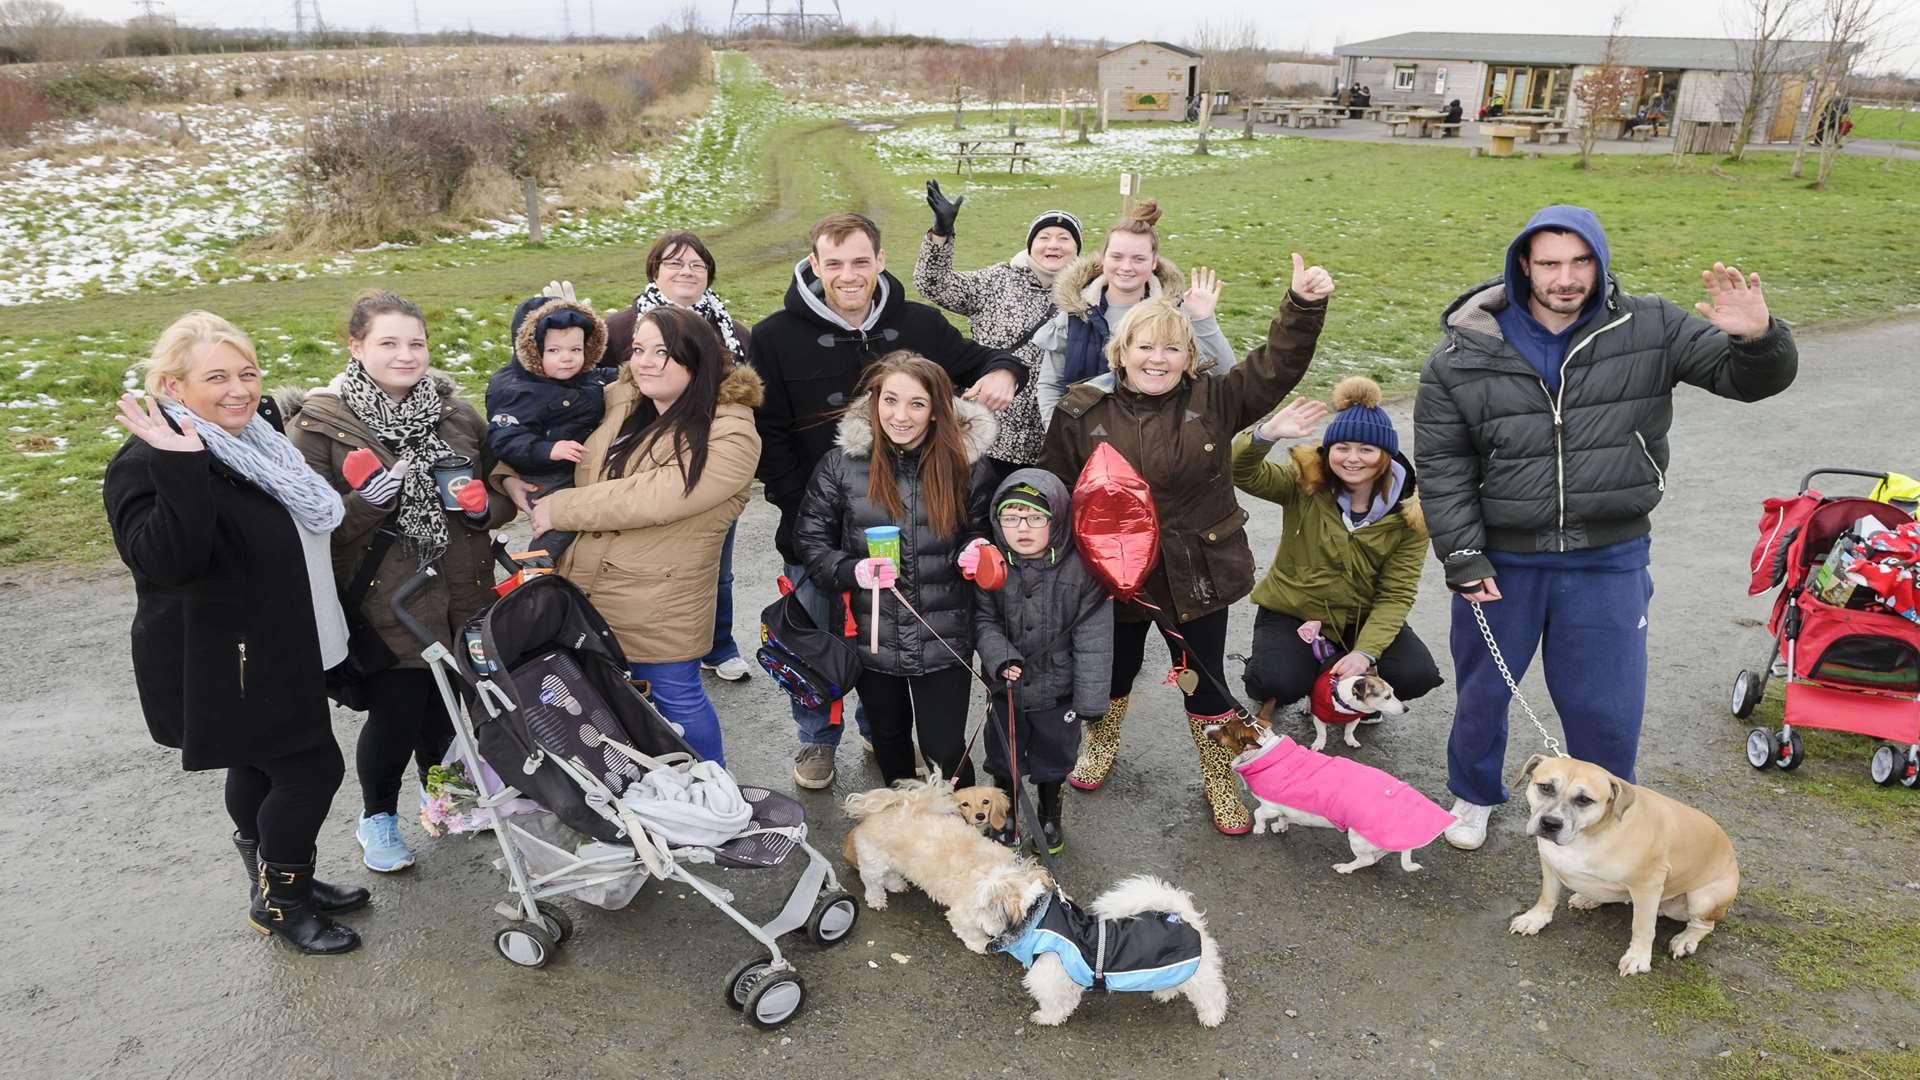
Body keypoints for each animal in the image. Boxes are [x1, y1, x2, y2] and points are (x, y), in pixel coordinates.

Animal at [1205, 711, 1459, 868]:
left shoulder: (1269, 806)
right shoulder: (1284, 806)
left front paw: (1259, 829)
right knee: (1378, 854)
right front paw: (1280, 827)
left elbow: (1258, 814)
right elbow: (1284, 818)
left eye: (1225, 730)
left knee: (1365, 860)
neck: (1265, 750)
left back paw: (1345, 868)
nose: (1207, 726)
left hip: (1357, 837)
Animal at [1512, 749, 1743, 976]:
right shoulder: (1550, 863)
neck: (1587, 836)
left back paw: (1685, 940)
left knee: (1705, 925)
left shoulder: (1647, 885)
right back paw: (1588, 898)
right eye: (1545, 787)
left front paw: (1638, 958)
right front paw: (1535, 918)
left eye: (1584, 800)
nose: (1550, 823)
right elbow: (1547, 896)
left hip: (1703, 898)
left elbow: (1642, 927)